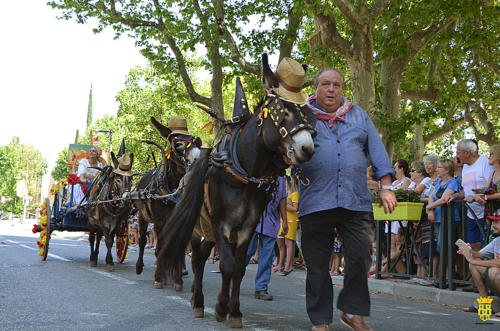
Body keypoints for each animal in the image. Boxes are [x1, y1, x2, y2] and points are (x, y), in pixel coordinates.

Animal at [135, 116, 203, 290]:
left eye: (195, 141)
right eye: (177, 143)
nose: (198, 157)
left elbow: (176, 247)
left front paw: (177, 279)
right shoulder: (160, 220)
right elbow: (160, 246)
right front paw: (159, 278)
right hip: (142, 216)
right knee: (142, 240)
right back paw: (141, 267)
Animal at [159, 55, 316, 330]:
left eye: (305, 112)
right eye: (284, 111)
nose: (307, 147)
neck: (243, 174)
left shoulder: (246, 227)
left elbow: (239, 268)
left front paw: (232, 310)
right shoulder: (221, 223)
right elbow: (227, 264)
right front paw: (221, 307)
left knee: (204, 257)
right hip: (198, 227)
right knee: (197, 260)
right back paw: (198, 301)